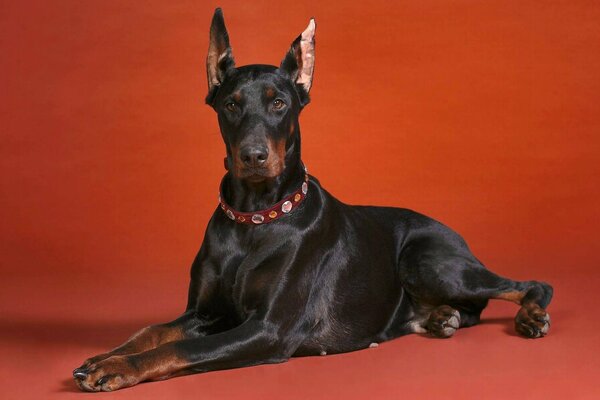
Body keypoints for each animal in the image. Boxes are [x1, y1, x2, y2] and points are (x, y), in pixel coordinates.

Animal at [74, 8, 552, 390]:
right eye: (230, 104)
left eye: (279, 103)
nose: (253, 156)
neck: (255, 218)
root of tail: (452, 233)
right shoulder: (204, 314)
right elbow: (152, 332)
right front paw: (106, 356)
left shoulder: (268, 329)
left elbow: (180, 350)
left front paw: (120, 367)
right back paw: (440, 318)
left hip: (428, 261)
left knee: (527, 285)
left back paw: (527, 316)